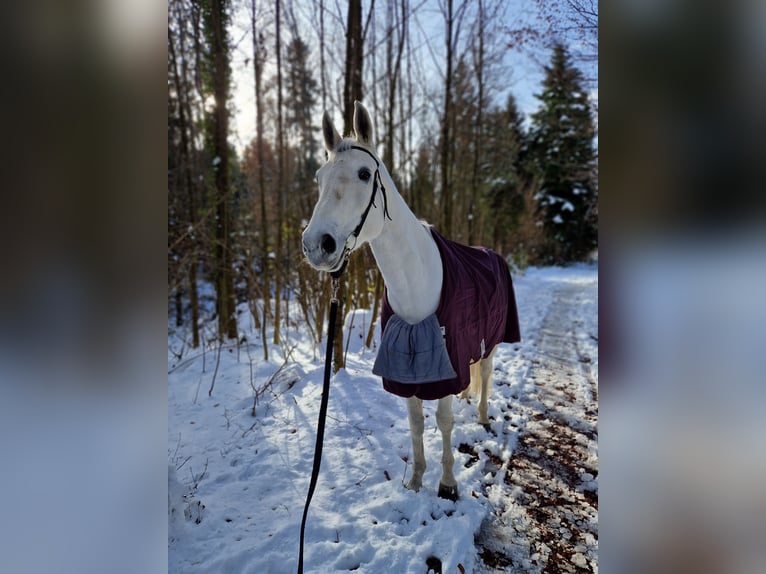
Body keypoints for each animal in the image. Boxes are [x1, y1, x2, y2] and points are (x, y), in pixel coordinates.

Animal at [304, 102, 520, 500]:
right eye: (319, 177)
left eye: (364, 174)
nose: (317, 245)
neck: (416, 280)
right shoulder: (407, 369)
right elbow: (417, 422)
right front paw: (417, 479)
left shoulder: (443, 363)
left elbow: (444, 421)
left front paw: (447, 484)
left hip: (492, 341)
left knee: (485, 373)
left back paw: (482, 418)